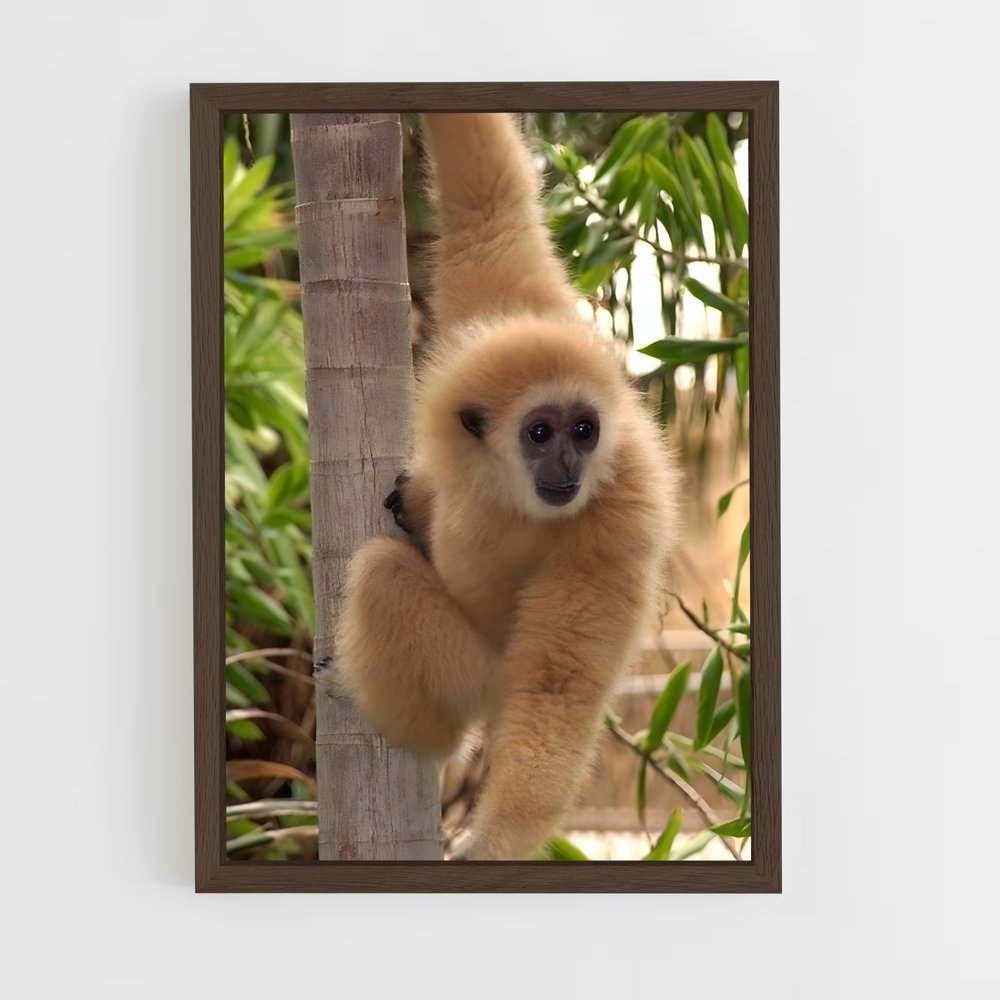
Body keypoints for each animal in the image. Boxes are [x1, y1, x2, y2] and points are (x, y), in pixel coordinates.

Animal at [333, 113, 678, 861]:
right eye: (541, 432)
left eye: (585, 430)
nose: (570, 465)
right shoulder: (511, 309)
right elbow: (489, 202)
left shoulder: (620, 514)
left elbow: (557, 688)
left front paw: (495, 840)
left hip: (482, 681)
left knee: (380, 574)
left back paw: (424, 736)